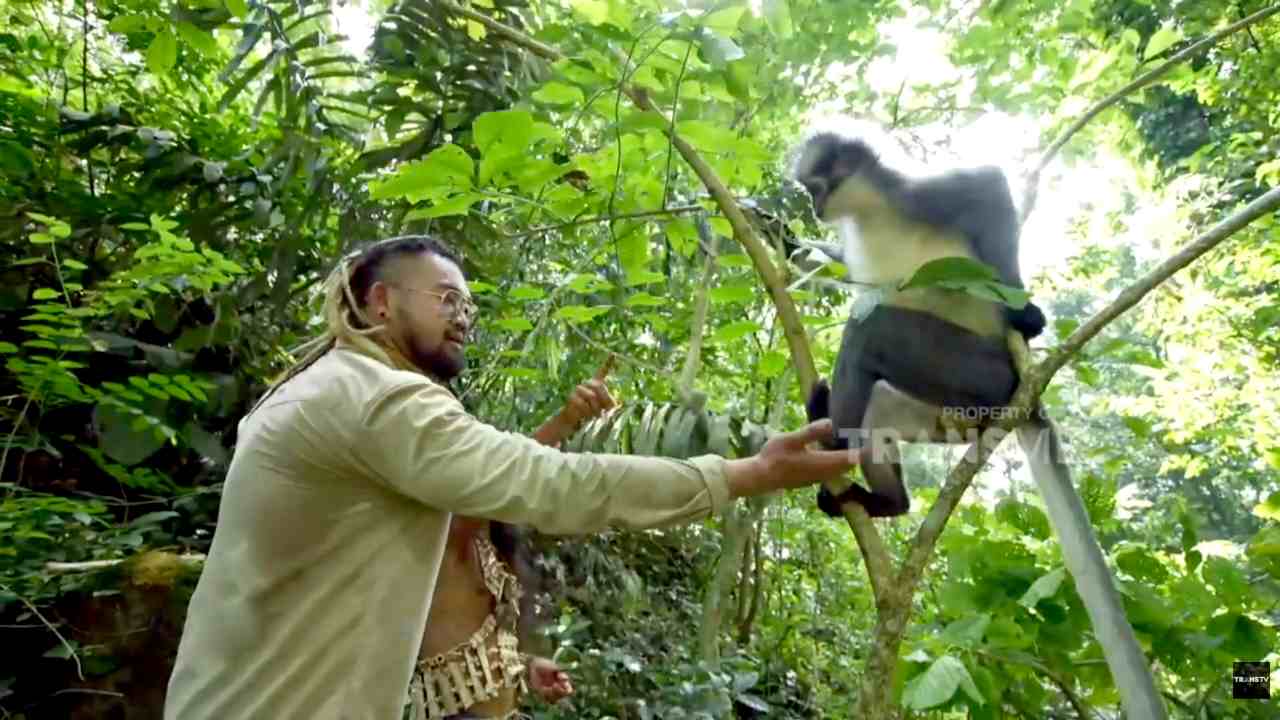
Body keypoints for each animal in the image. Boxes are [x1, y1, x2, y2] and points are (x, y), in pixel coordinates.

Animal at [790, 129, 1167, 720]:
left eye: (817, 186)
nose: (812, 208)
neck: (870, 213)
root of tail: (1017, 398)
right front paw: (785, 241)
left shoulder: (919, 195)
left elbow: (988, 182)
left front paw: (1024, 312)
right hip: (942, 413)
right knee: (878, 414)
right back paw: (885, 497)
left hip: (980, 373)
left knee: (870, 327)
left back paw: (833, 446)